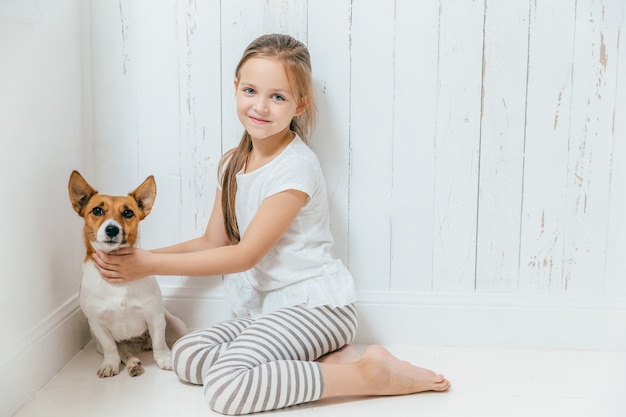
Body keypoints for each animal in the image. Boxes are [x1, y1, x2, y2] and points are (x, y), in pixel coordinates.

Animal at [68, 169, 186, 376]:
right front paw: (110, 364)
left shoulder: (155, 317)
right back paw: (133, 364)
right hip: (100, 343)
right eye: (97, 210)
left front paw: (165, 359)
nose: (112, 229)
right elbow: (111, 348)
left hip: (175, 324)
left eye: (128, 212)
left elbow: (160, 343)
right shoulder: (97, 324)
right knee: (124, 351)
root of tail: (138, 342)